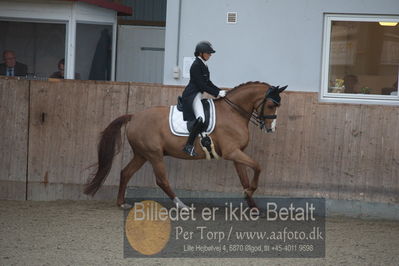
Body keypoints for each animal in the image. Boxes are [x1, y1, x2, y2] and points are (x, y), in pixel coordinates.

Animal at [84, 82, 286, 209]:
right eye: (270, 105)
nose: (271, 129)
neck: (233, 112)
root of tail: (134, 116)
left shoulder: (237, 154)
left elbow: (245, 177)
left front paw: (252, 203)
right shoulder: (232, 152)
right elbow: (258, 167)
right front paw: (250, 192)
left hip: (142, 155)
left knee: (125, 173)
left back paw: (121, 203)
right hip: (154, 155)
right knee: (161, 180)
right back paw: (182, 205)